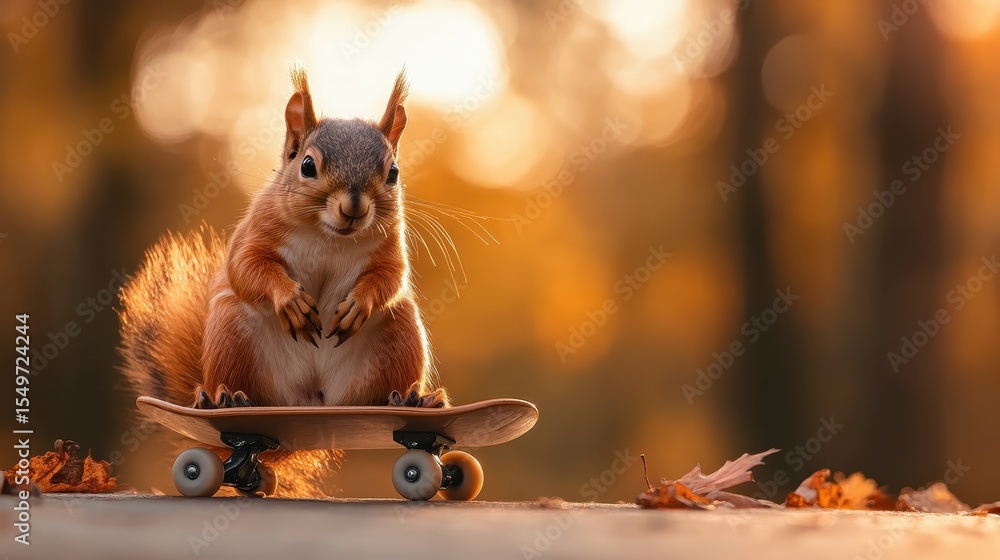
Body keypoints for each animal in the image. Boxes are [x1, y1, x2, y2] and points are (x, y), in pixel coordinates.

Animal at [118, 67, 449, 412]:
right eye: (307, 166)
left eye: (393, 172)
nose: (354, 208)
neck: (327, 235)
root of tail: (312, 400)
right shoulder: (257, 231)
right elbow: (245, 267)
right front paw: (289, 300)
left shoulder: (389, 243)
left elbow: (391, 277)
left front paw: (360, 304)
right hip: (230, 333)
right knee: (237, 379)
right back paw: (222, 398)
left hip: (400, 333)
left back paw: (414, 398)